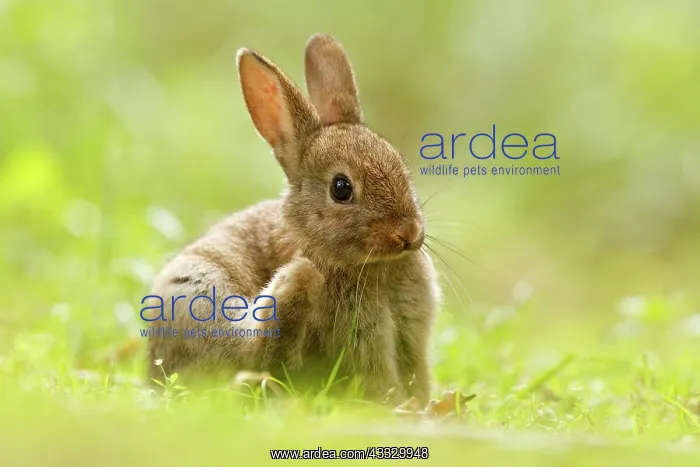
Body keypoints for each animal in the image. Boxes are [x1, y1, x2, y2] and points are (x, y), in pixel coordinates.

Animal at [145, 33, 442, 404]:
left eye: (400, 164)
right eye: (341, 188)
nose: (409, 234)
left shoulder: (412, 335)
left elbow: (417, 369)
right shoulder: (362, 338)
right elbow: (378, 376)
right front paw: (397, 406)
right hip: (199, 297)